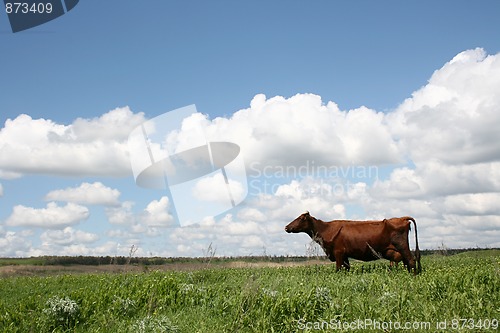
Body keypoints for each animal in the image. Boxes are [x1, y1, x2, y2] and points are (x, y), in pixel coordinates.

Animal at [284, 211, 420, 274]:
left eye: (301, 218)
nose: (286, 227)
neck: (326, 229)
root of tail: (402, 218)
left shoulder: (338, 253)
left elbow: (338, 269)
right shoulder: (344, 255)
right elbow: (347, 268)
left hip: (402, 246)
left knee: (411, 261)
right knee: (408, 262)